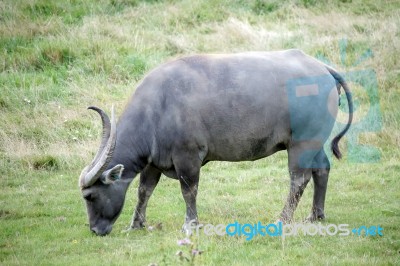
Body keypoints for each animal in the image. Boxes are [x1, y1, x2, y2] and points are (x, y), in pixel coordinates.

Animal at [79, 49, 354, 235]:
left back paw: (282, 219)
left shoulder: (187, 157)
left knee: (299, 178)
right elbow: (144, 190)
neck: (157, 108)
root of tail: (322, 68)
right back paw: (316, 215)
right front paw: (136, 224)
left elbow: (189, 191)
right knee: (322, 169)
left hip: (302, 143)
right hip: (315, 143)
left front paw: (190, 224)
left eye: (90, 196)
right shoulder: (153, 162)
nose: (94, 230)